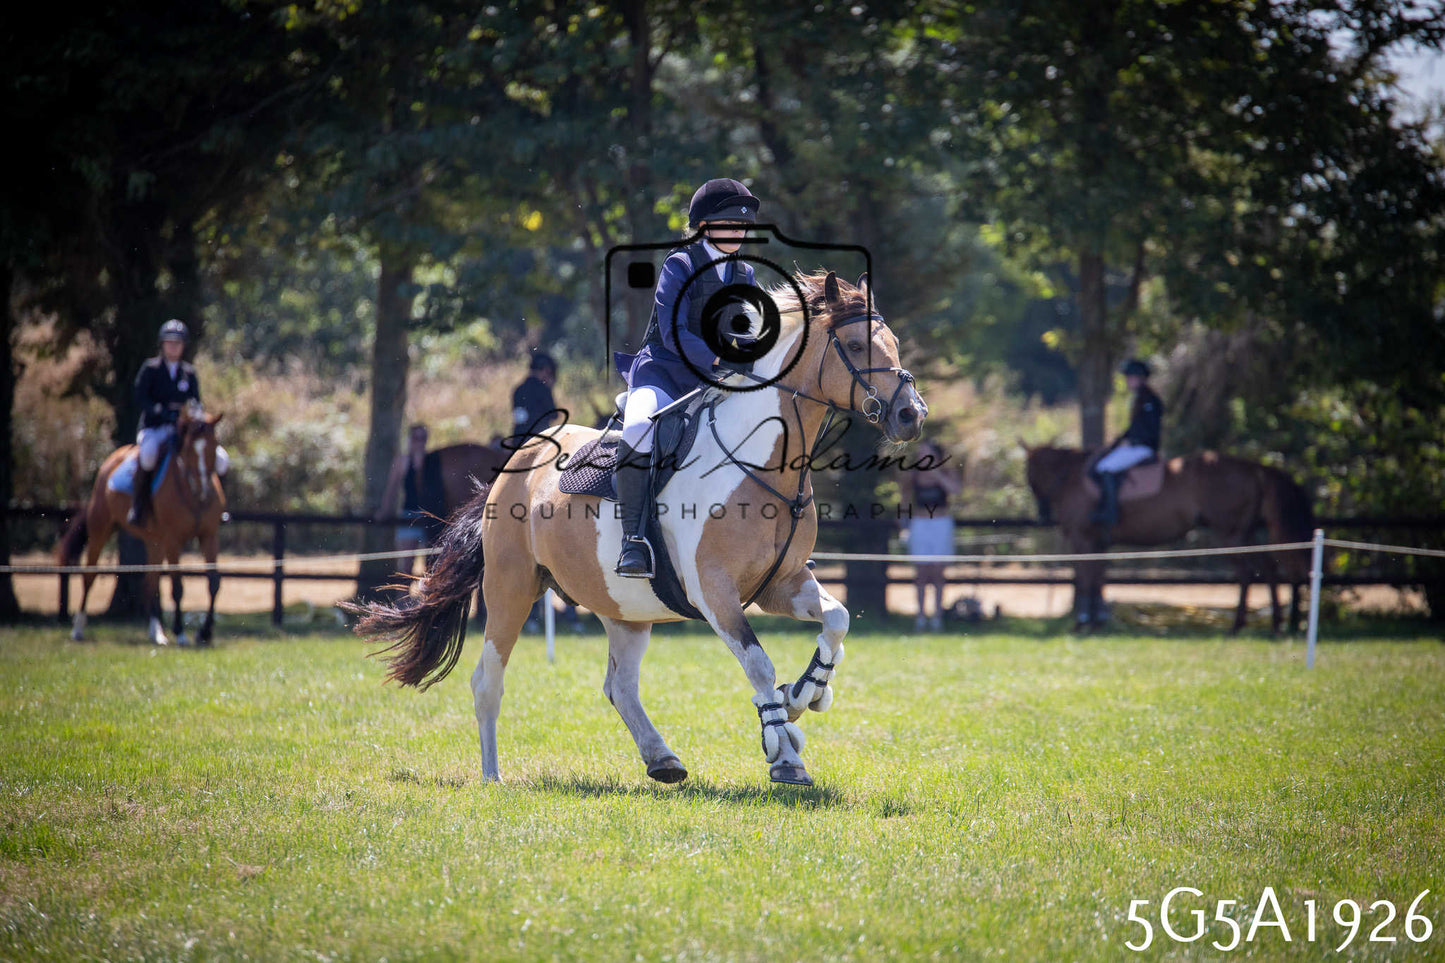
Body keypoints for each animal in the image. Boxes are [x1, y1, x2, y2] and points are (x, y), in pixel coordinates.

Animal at [58, 403, 227, 646]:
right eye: (188, 450)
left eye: (214, 446)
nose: (203, 488)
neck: (193, 495)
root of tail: (114, 458)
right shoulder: (173, 539)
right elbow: (177, 586)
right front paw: (181, 632)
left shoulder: (209, 535)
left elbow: (213, 583)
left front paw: (204, 633)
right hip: (102, 529)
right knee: (89, 575)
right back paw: (78, 629)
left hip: (154, 541)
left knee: (150, 583)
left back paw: (156, 633)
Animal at [350, 270, 927, 787]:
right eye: (856, 344)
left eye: (895, 343)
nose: (911, 415)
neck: (757, 463)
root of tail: (521, 456)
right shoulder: (715, 593)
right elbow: (759, 665)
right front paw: (783, 752)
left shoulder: (779, 585)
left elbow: (837, 620)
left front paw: (805, 694)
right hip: (510, 587)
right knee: (487, 681)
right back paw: (493, 778)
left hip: (623, 607)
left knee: (620, 687)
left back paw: (663, 759)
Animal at [1022, 445, 1314, 634]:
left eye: (1031, 474)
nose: (1042, 515)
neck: (1072, 477)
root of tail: (1253, 467)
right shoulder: (1098, 544)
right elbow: (1097, 577)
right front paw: (1096, 620)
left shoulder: (1083, 539)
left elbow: (1086, 577)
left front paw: (1084, 622)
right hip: (1245, 532)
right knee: (1267, 568)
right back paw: (1272, 624)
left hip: (1230, 533)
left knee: (1247, 573)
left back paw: (1241, 625)